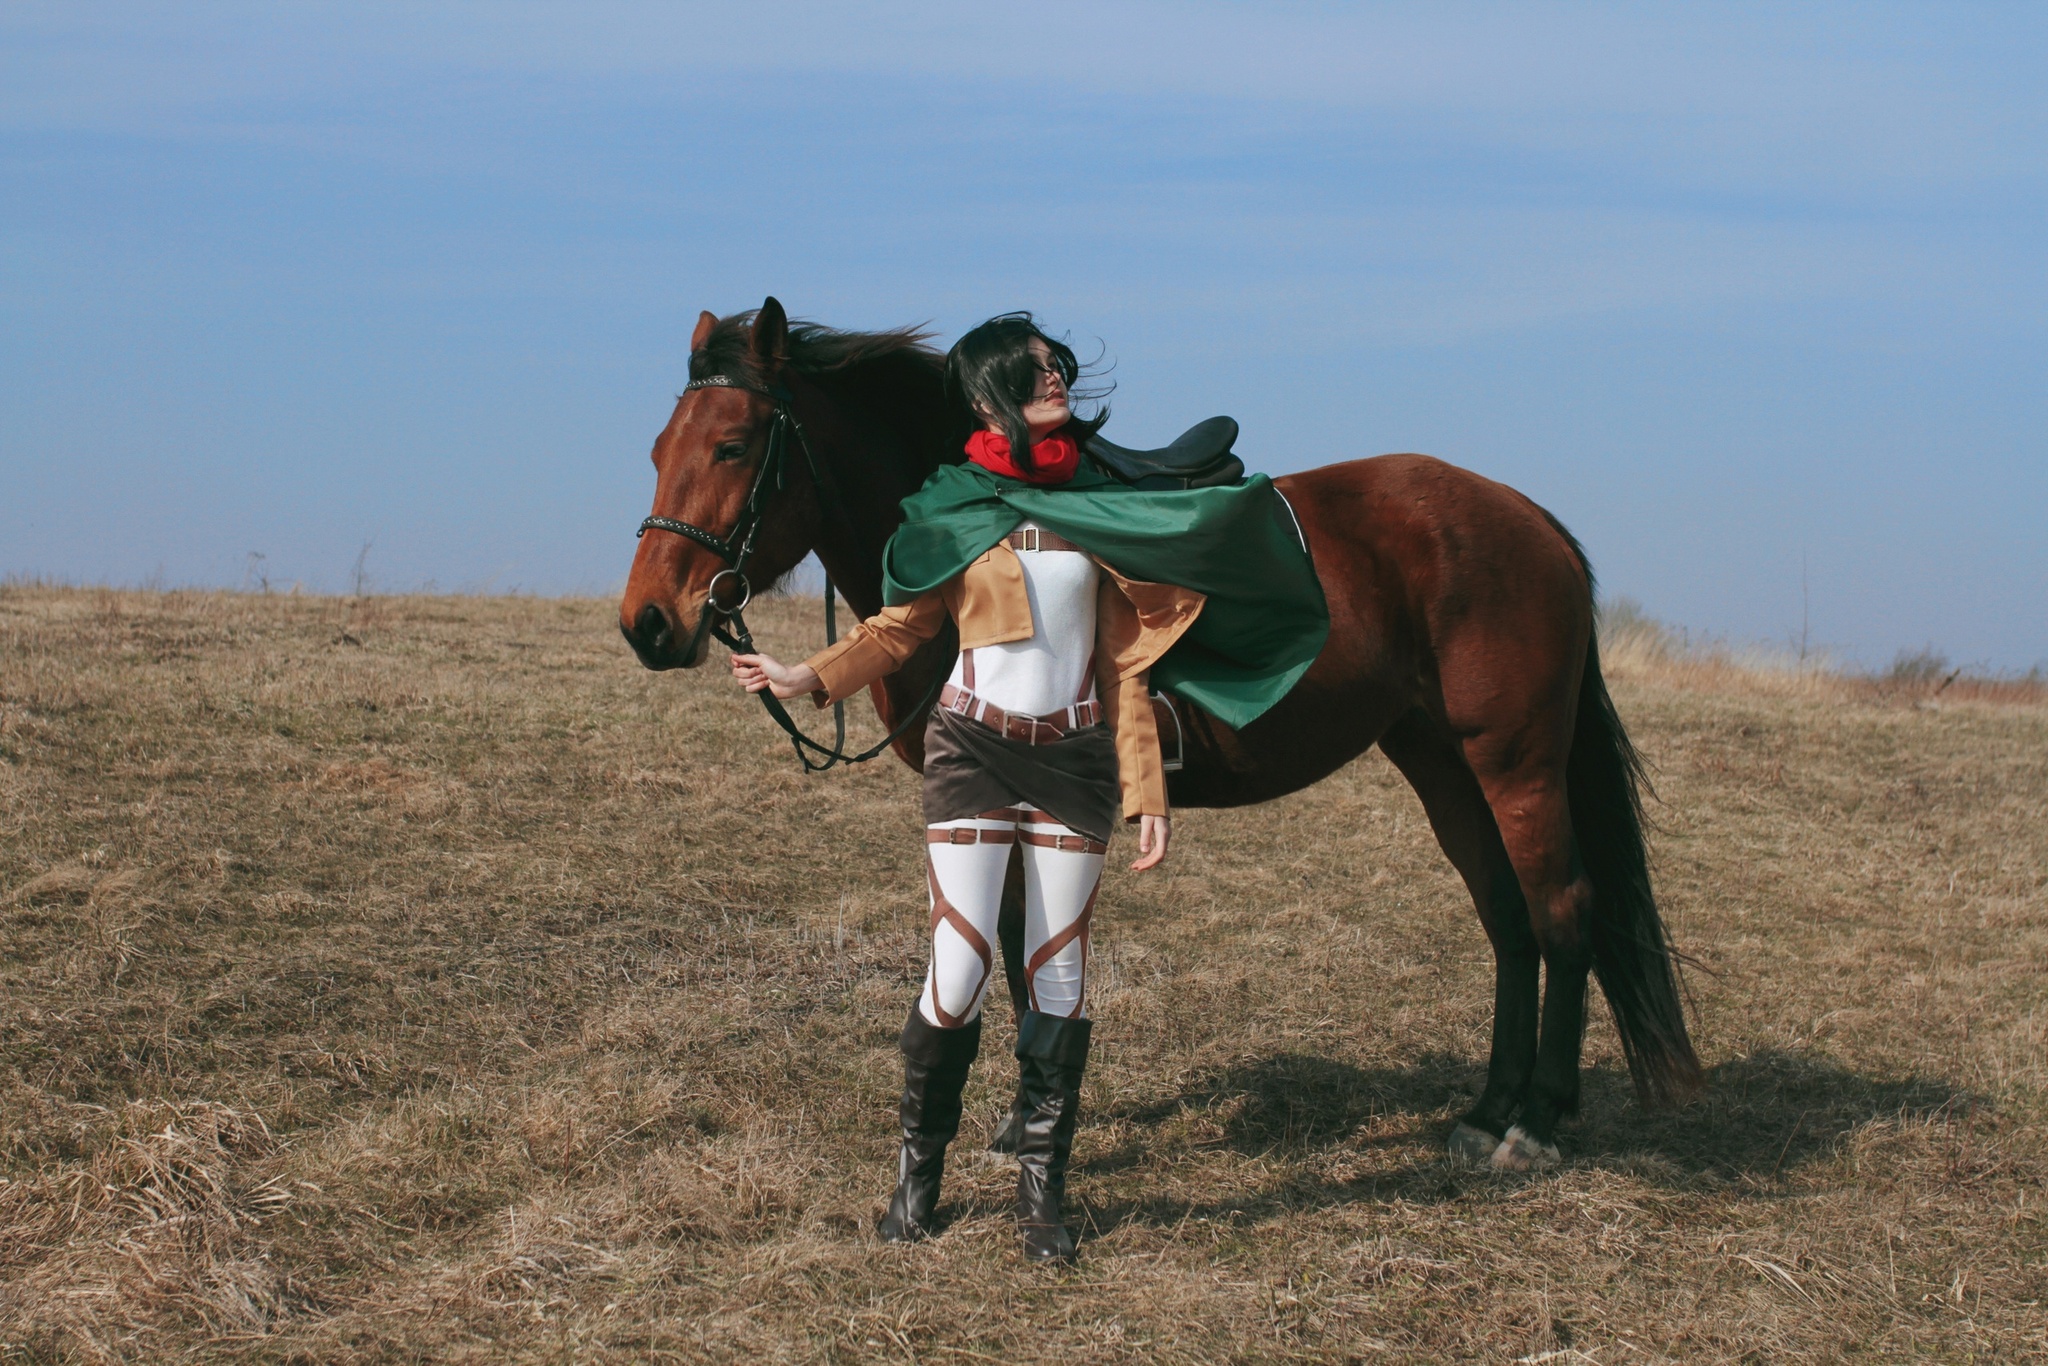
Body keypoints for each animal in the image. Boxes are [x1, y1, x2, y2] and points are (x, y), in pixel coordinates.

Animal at [619, 297, 1702, 1169]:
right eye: (659, 448)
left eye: (733, 445)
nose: (648, 624)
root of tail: (1527, 519)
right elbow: (1013, 938)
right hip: (1440, 762)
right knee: (1508, 919)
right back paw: (1487, 1110)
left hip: (1513, 763)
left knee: (1560, 912)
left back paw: (1537, 1122)